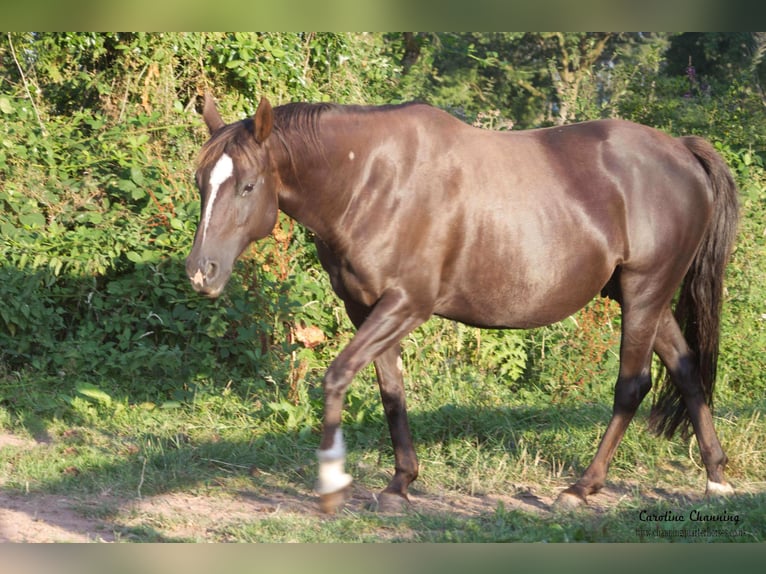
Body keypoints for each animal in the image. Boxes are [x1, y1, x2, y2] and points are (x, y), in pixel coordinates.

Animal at [183, 93, 740, 512]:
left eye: (248, 185)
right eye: (201, 183)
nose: (200, 272)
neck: (371, 179)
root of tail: (681, 151)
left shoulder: (406, 304)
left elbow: (338, 376)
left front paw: (332, 483)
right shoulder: (367, 309)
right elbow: (391, 392)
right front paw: (399, 483)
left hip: (645, 291)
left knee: (632, 385)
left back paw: (582, 487)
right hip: (645, 296)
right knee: (687, 369)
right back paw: (716, 476)